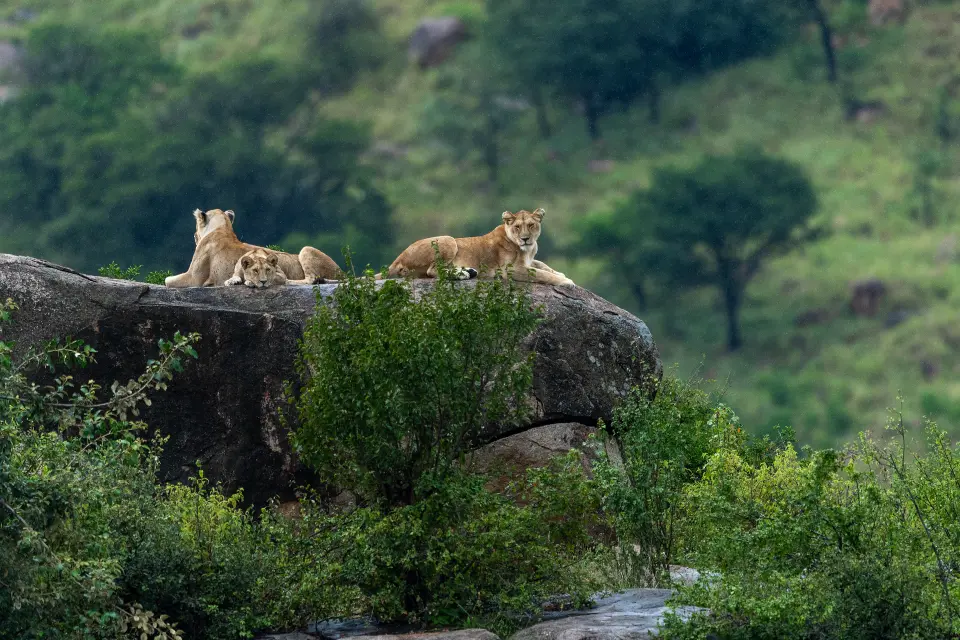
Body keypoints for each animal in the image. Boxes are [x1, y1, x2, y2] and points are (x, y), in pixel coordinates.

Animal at [163, 208, 342, 288]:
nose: (194, 237)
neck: (223, 228)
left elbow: (167, 280)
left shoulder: (193, 278)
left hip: (306, 248)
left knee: (311, 279)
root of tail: (342, 272)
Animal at [382, 208, 574, 287]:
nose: (525, 239)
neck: (527, 249)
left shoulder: (529, 260)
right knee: (433, 271)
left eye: (531, 225)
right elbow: (541, 273)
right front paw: (566, 281)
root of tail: (396, 260)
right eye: (518, 227)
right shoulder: (511, 270)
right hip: (449, 240)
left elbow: (542, 265)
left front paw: (561, 274)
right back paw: (464, 273)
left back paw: (469, 272)